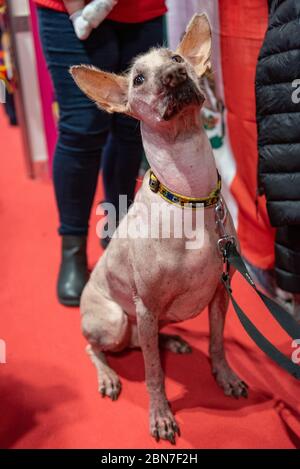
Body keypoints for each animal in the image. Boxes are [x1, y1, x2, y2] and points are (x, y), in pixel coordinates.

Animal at [71, 14, 248, 444]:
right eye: (137, 79)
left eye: (177, 57)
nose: (175, 74)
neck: (190, 196)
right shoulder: (146, 306)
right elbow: (153, 374)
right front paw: (161, 415)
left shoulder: (220, 292)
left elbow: (217, 344)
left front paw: (225, 377)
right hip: (116, 319)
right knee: (97, 348)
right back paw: (108, 376)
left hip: (149, 320)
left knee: (143, 343)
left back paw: (171, 342)